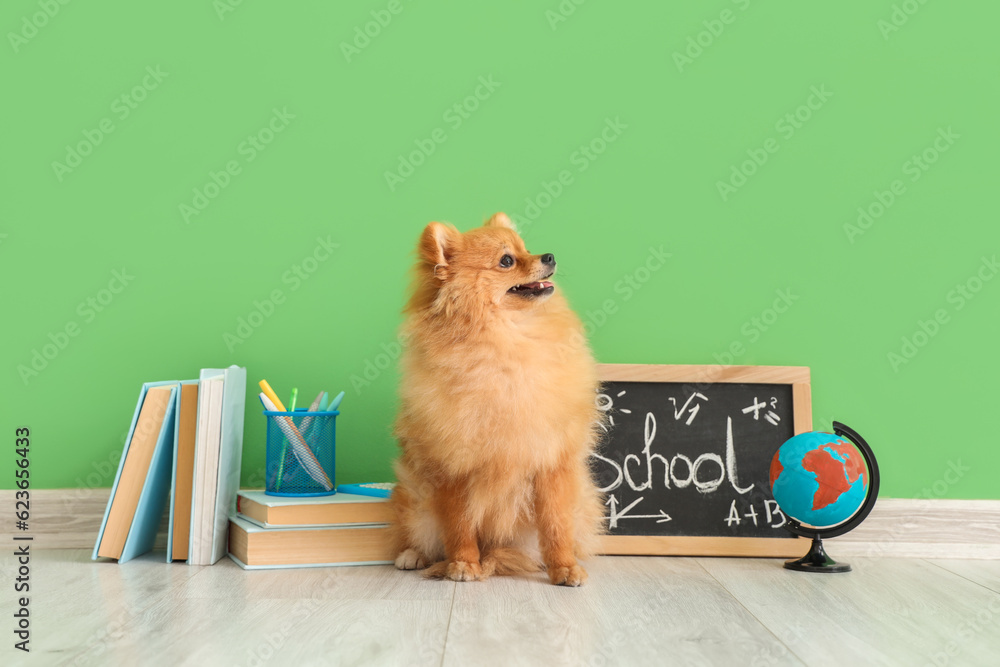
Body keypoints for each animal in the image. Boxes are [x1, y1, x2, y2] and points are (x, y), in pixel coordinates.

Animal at [388, 211, 604, 588]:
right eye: (507, 261)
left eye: (526, 248)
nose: (549, 256)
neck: (507, 344)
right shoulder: (453, 467)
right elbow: (459, 525)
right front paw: (463, 564)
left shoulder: (552, 463)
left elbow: (557, 525)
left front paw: (564, 567)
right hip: (416, 499)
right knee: (423, 536)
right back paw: (413, 556)